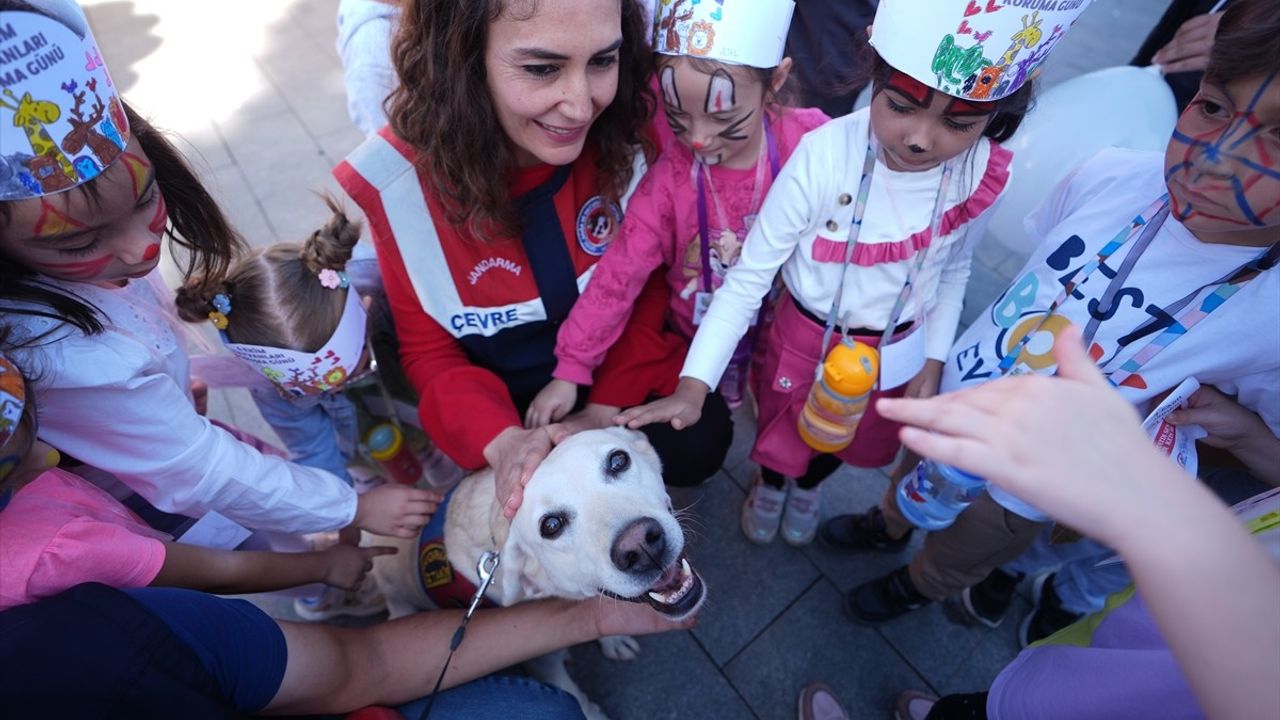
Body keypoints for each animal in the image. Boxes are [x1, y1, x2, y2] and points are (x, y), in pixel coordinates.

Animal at [366, 427, 706, 712]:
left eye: (618, 460)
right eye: (551, 526)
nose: (640, 547)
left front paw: (614, 639)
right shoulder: (544, 662)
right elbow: (578, 700)